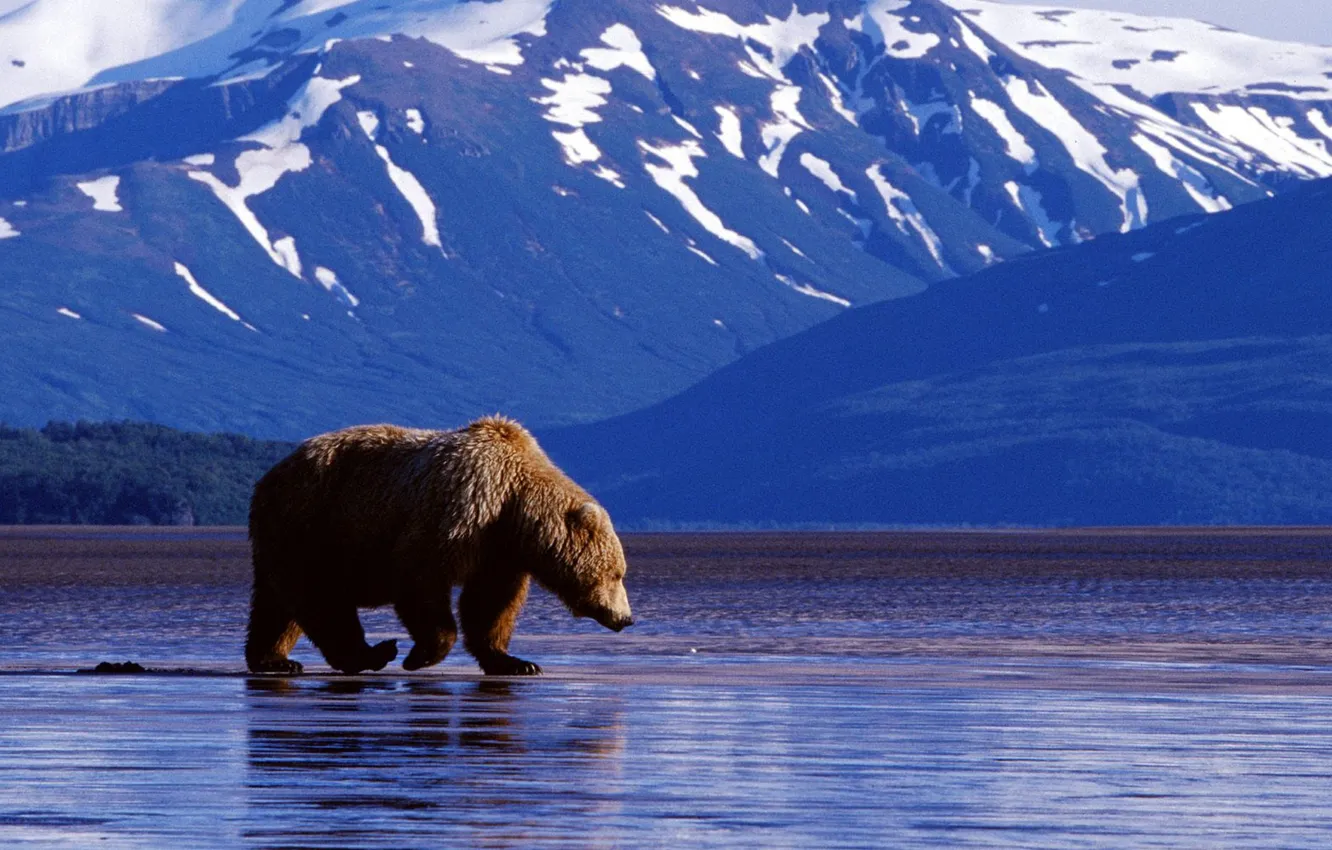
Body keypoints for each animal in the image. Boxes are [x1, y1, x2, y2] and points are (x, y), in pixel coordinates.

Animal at [244, 416, 633, 676]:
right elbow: (420, 577)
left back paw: (274, 659)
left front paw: (515, 661)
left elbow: (490, 603)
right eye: (617, 573)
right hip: (314, 522)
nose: (626, 618)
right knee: (320, 594)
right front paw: (421, 655)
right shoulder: (460, 512)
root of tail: (269, 477)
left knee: (276, 605)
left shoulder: (499, 551)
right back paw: (370, 654)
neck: (513, 503)